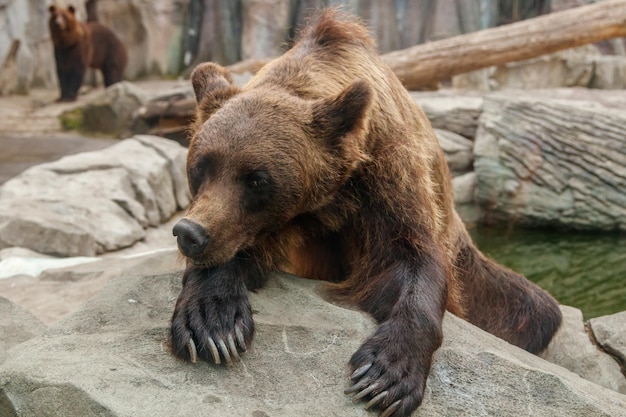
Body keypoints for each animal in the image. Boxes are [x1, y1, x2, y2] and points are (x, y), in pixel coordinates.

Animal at [169, 7, 560, 416]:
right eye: (200, 166)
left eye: (257, 180)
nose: (190, 233)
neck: (323, 204)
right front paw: (213, 325)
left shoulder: (386, 179)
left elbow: (409, 262)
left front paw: (385, 375)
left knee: (535, 309)